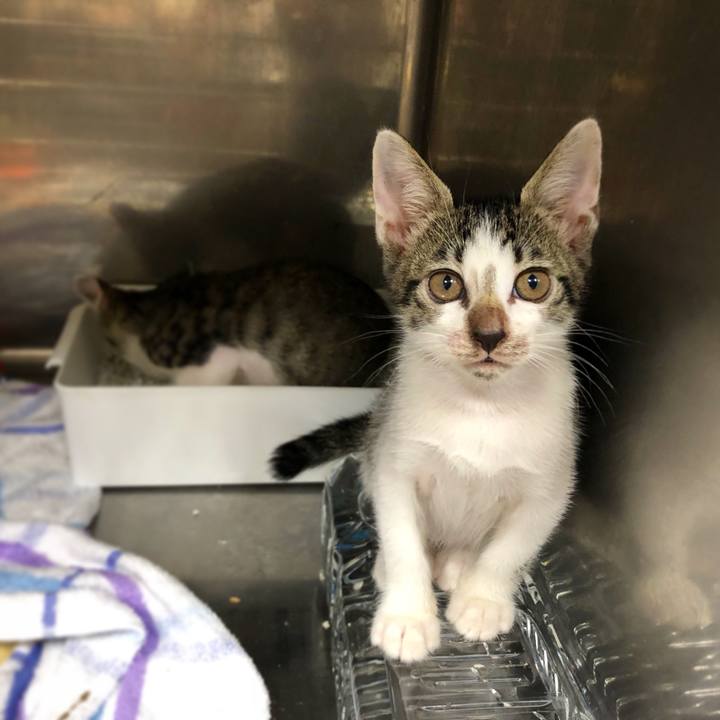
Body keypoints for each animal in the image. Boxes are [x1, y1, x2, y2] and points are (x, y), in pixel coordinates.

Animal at [271, 119, 602, 662]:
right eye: (445, 284)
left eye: (532, 283)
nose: (488, 335)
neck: (481, 406)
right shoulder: (393, 463)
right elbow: (403, 538)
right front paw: (407, 616)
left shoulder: (550, 485)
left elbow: (511, 547)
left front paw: (482, 600)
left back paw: (459, 563)